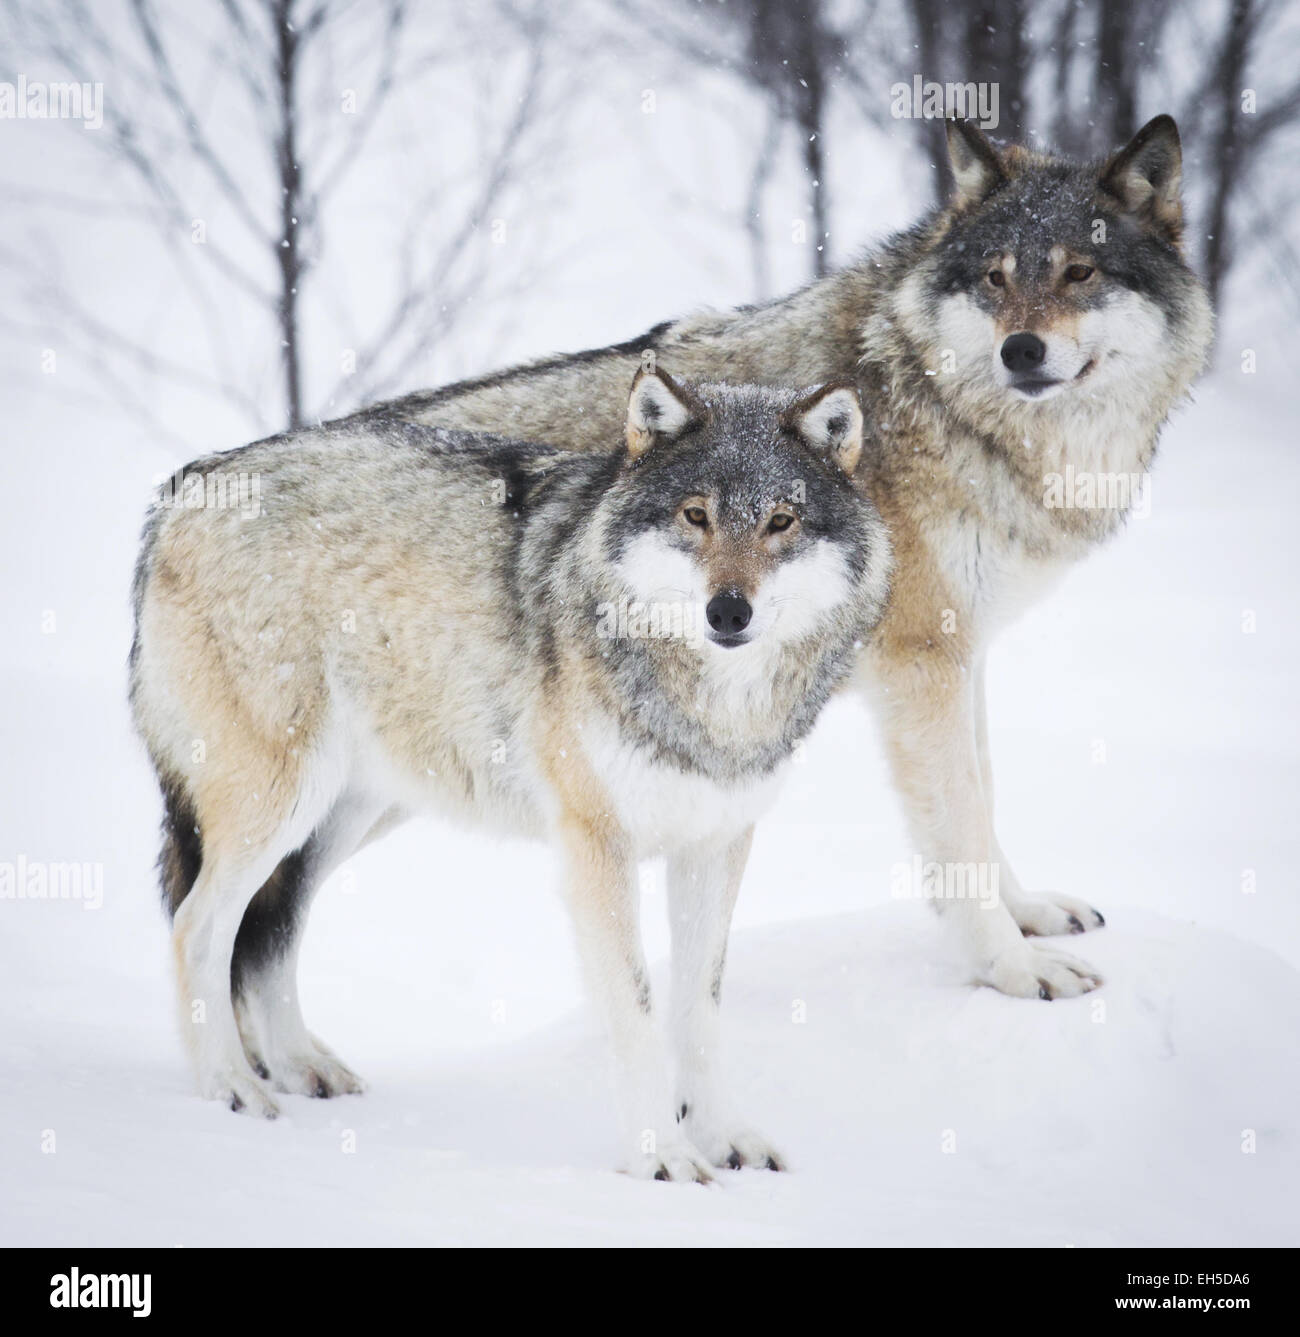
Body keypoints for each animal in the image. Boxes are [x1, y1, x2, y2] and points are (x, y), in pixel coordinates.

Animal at [131, 369, 893, 1181]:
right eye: (696, 515)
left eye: (782, 521)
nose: (728, 611)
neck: (711, 705)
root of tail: (183, 486)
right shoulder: (597, 845)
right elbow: (636, 1010)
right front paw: (660, 1157)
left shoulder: (717, 844)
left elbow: (700, 1008)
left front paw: (724, 1135)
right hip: (280, 801)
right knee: (198, 926)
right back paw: (230, 1086)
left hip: (348, 815)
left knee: (273, 925)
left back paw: (302, 1065)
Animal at [374, 117, 1219, 1005]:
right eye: (995, 277)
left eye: (1079, 271)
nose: (1021, 351)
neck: (933, 403)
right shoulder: (925, 666)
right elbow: (959, 826)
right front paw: (1013, 968)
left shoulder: (965, 653)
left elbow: (985, 801)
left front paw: (1029, 915)